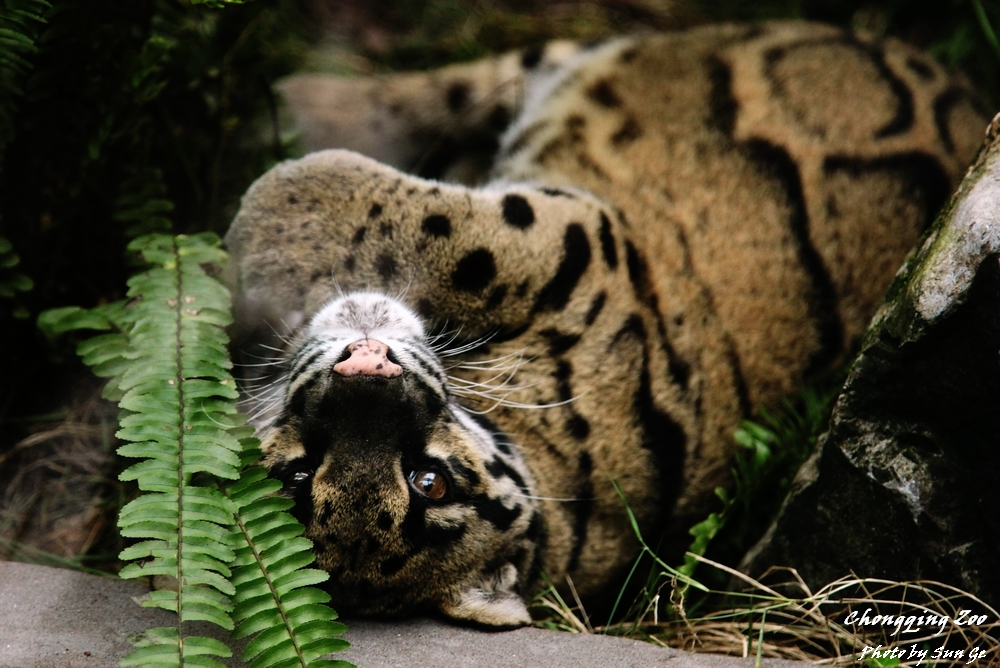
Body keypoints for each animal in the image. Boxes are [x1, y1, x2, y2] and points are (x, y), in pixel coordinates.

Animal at [223, 21, 989, 629]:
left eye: (429, 481)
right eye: (296, 475)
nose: (365, 366)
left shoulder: (586, 245)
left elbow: (444, 229)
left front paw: (263, 229)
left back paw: (285, 105)